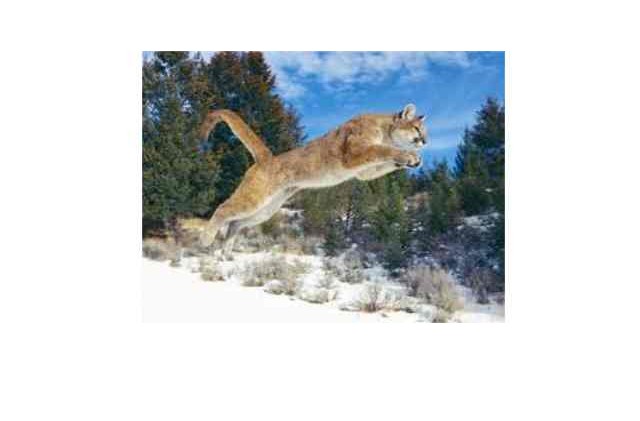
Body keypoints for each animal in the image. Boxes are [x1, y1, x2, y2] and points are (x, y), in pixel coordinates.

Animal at [198, 103, 428, 258]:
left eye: (424, 131)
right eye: (417, 129)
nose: (426, 141)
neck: (385, 130)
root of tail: (267, 159)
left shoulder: (364, 171)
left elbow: (384, 163)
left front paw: (413, 160)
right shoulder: (354, 153)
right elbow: (382, 150)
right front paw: (409, 156)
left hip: (267, 208)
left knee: (236, 222)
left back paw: (226, 252)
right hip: (256, 197)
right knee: (223, 209)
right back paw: (207, 239)